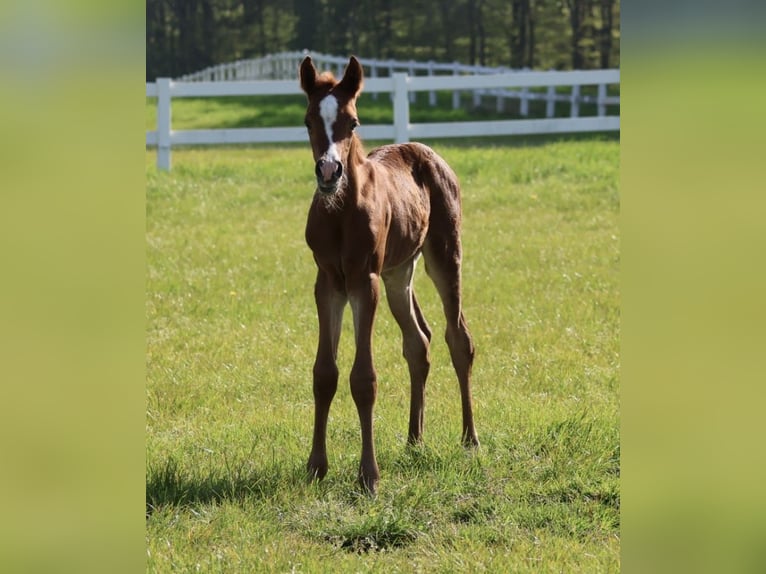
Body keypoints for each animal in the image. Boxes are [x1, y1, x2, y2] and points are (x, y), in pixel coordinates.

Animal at [302, 55, 476, 496]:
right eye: (309, 120)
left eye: (353, 122)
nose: (329, 171)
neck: (341, 212)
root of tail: (424, 150)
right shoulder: (327, 283)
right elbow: (324, 374)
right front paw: (315, 467)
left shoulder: (365, 281)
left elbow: (363, 379)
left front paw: (369, 475)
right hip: (399, 273)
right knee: (419, 341)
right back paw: (415, 438)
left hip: (443, 256)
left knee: (458, 339)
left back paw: (470, 439)